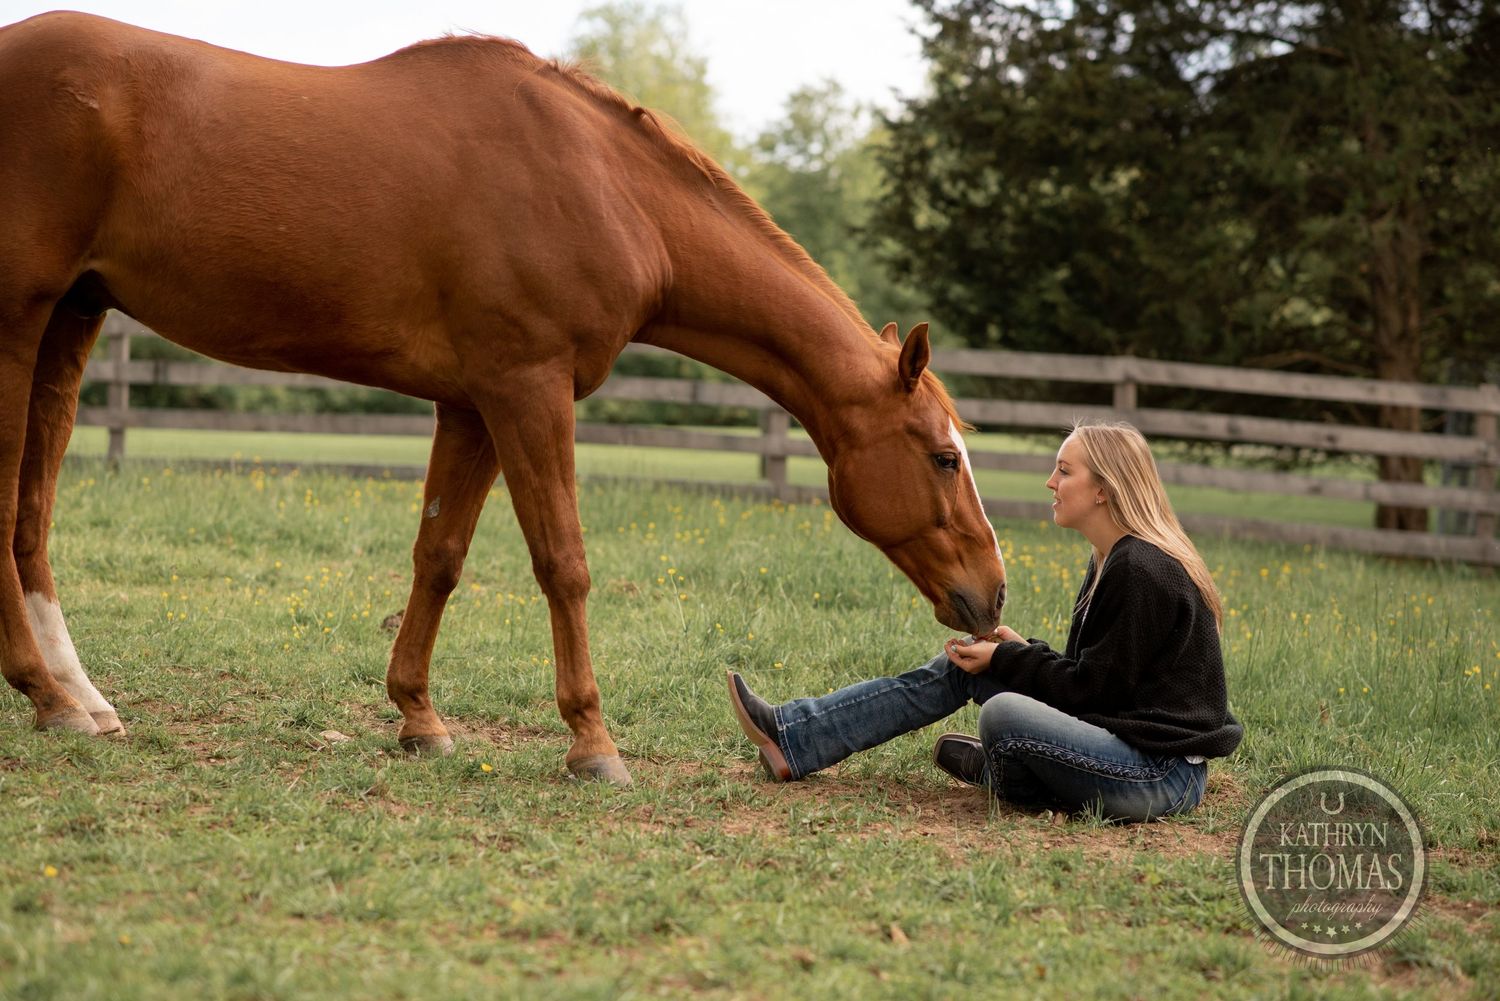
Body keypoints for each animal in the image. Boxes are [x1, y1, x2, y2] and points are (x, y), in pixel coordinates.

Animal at [0, 12, 1007, 785]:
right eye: (943, 456)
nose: (991, 595)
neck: (604, 186)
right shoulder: (530, 389)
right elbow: (563, 562)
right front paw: (593, 743)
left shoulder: (472, 403)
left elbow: (438, 556)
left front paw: (419, 718)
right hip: (19, 320)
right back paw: (48, 696)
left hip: (72, 321)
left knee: (34, 515)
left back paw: (82, 698)